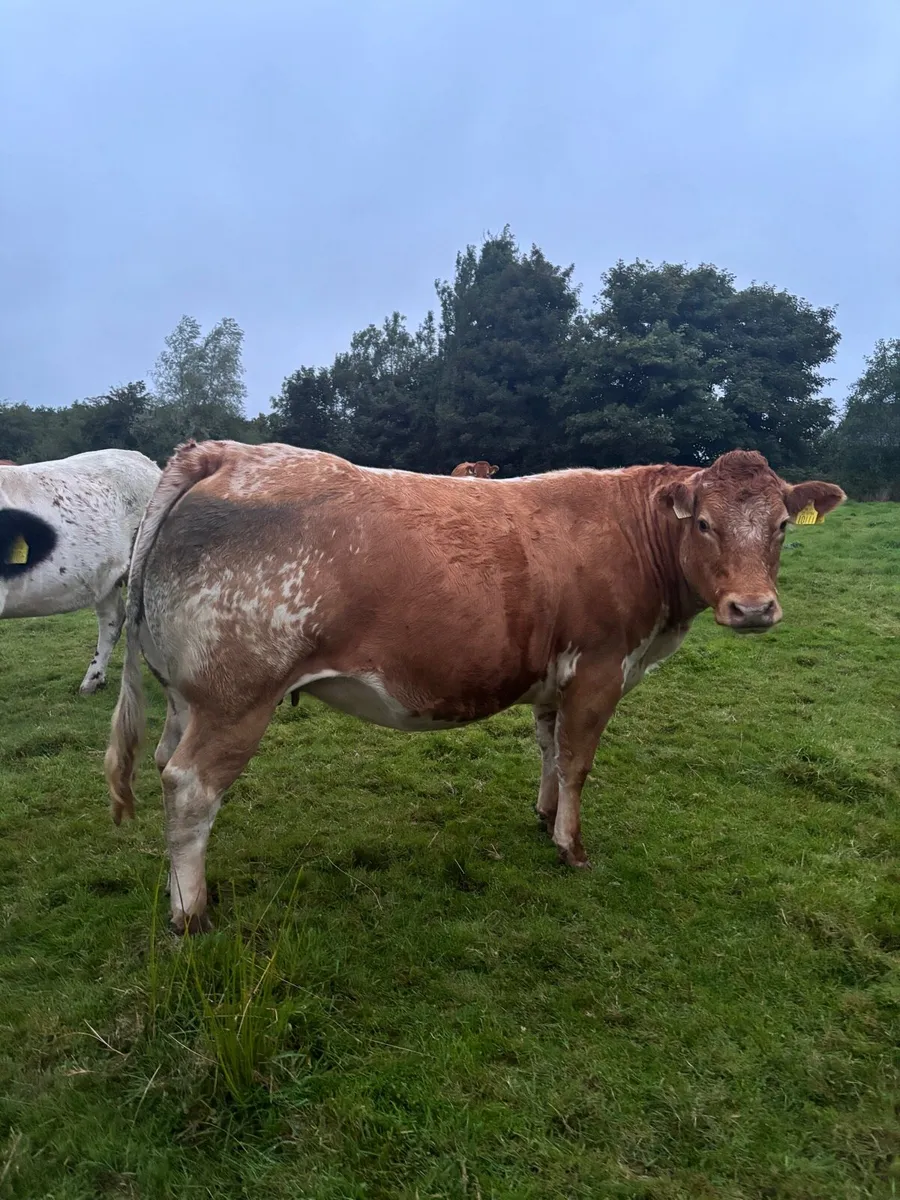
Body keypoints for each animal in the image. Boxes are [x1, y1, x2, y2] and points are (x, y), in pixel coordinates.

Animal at [105, 441, 845, 934]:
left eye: (782, 526)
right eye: (704, 524)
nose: (753, 608)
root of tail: (226, 452)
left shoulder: (555, 676)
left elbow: (548, 748)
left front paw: (545, 816)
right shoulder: (601, 669)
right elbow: (578, 761)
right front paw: (572, 847)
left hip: (188, 695)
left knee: (167, 764)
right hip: (237, 698)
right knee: (190, 788)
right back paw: (191, 914)